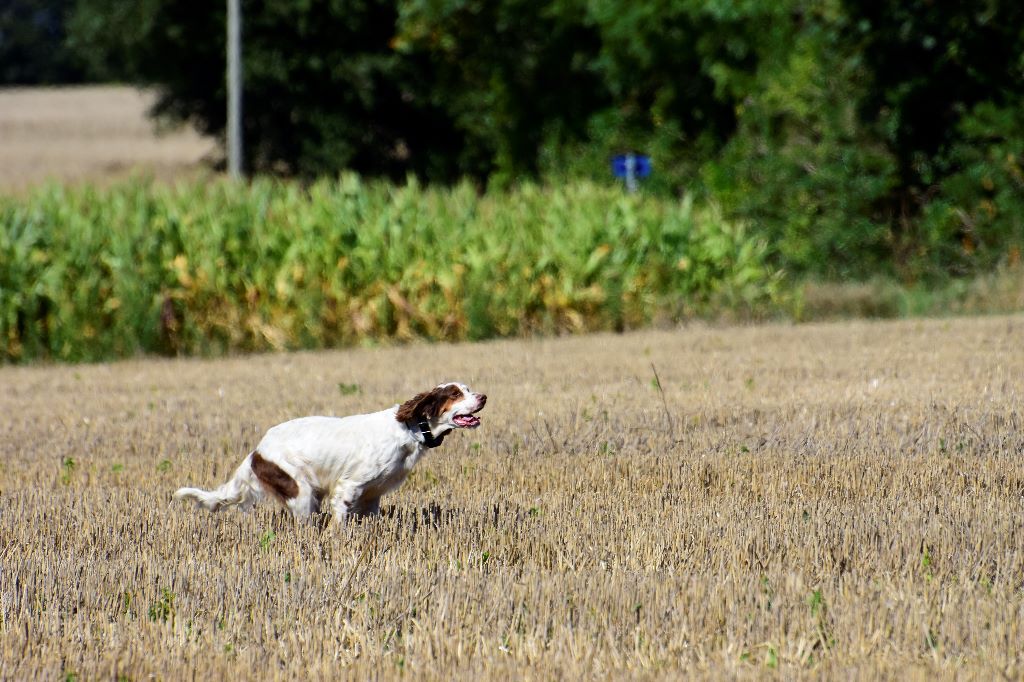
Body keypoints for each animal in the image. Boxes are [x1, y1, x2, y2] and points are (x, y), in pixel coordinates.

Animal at [175, 382, 487, 520]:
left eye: (469, 388)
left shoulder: (372, 495)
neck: (409, 428)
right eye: (455, 393)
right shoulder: (349, 487)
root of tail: (256, 452)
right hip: (300, 491)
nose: (484, 396)